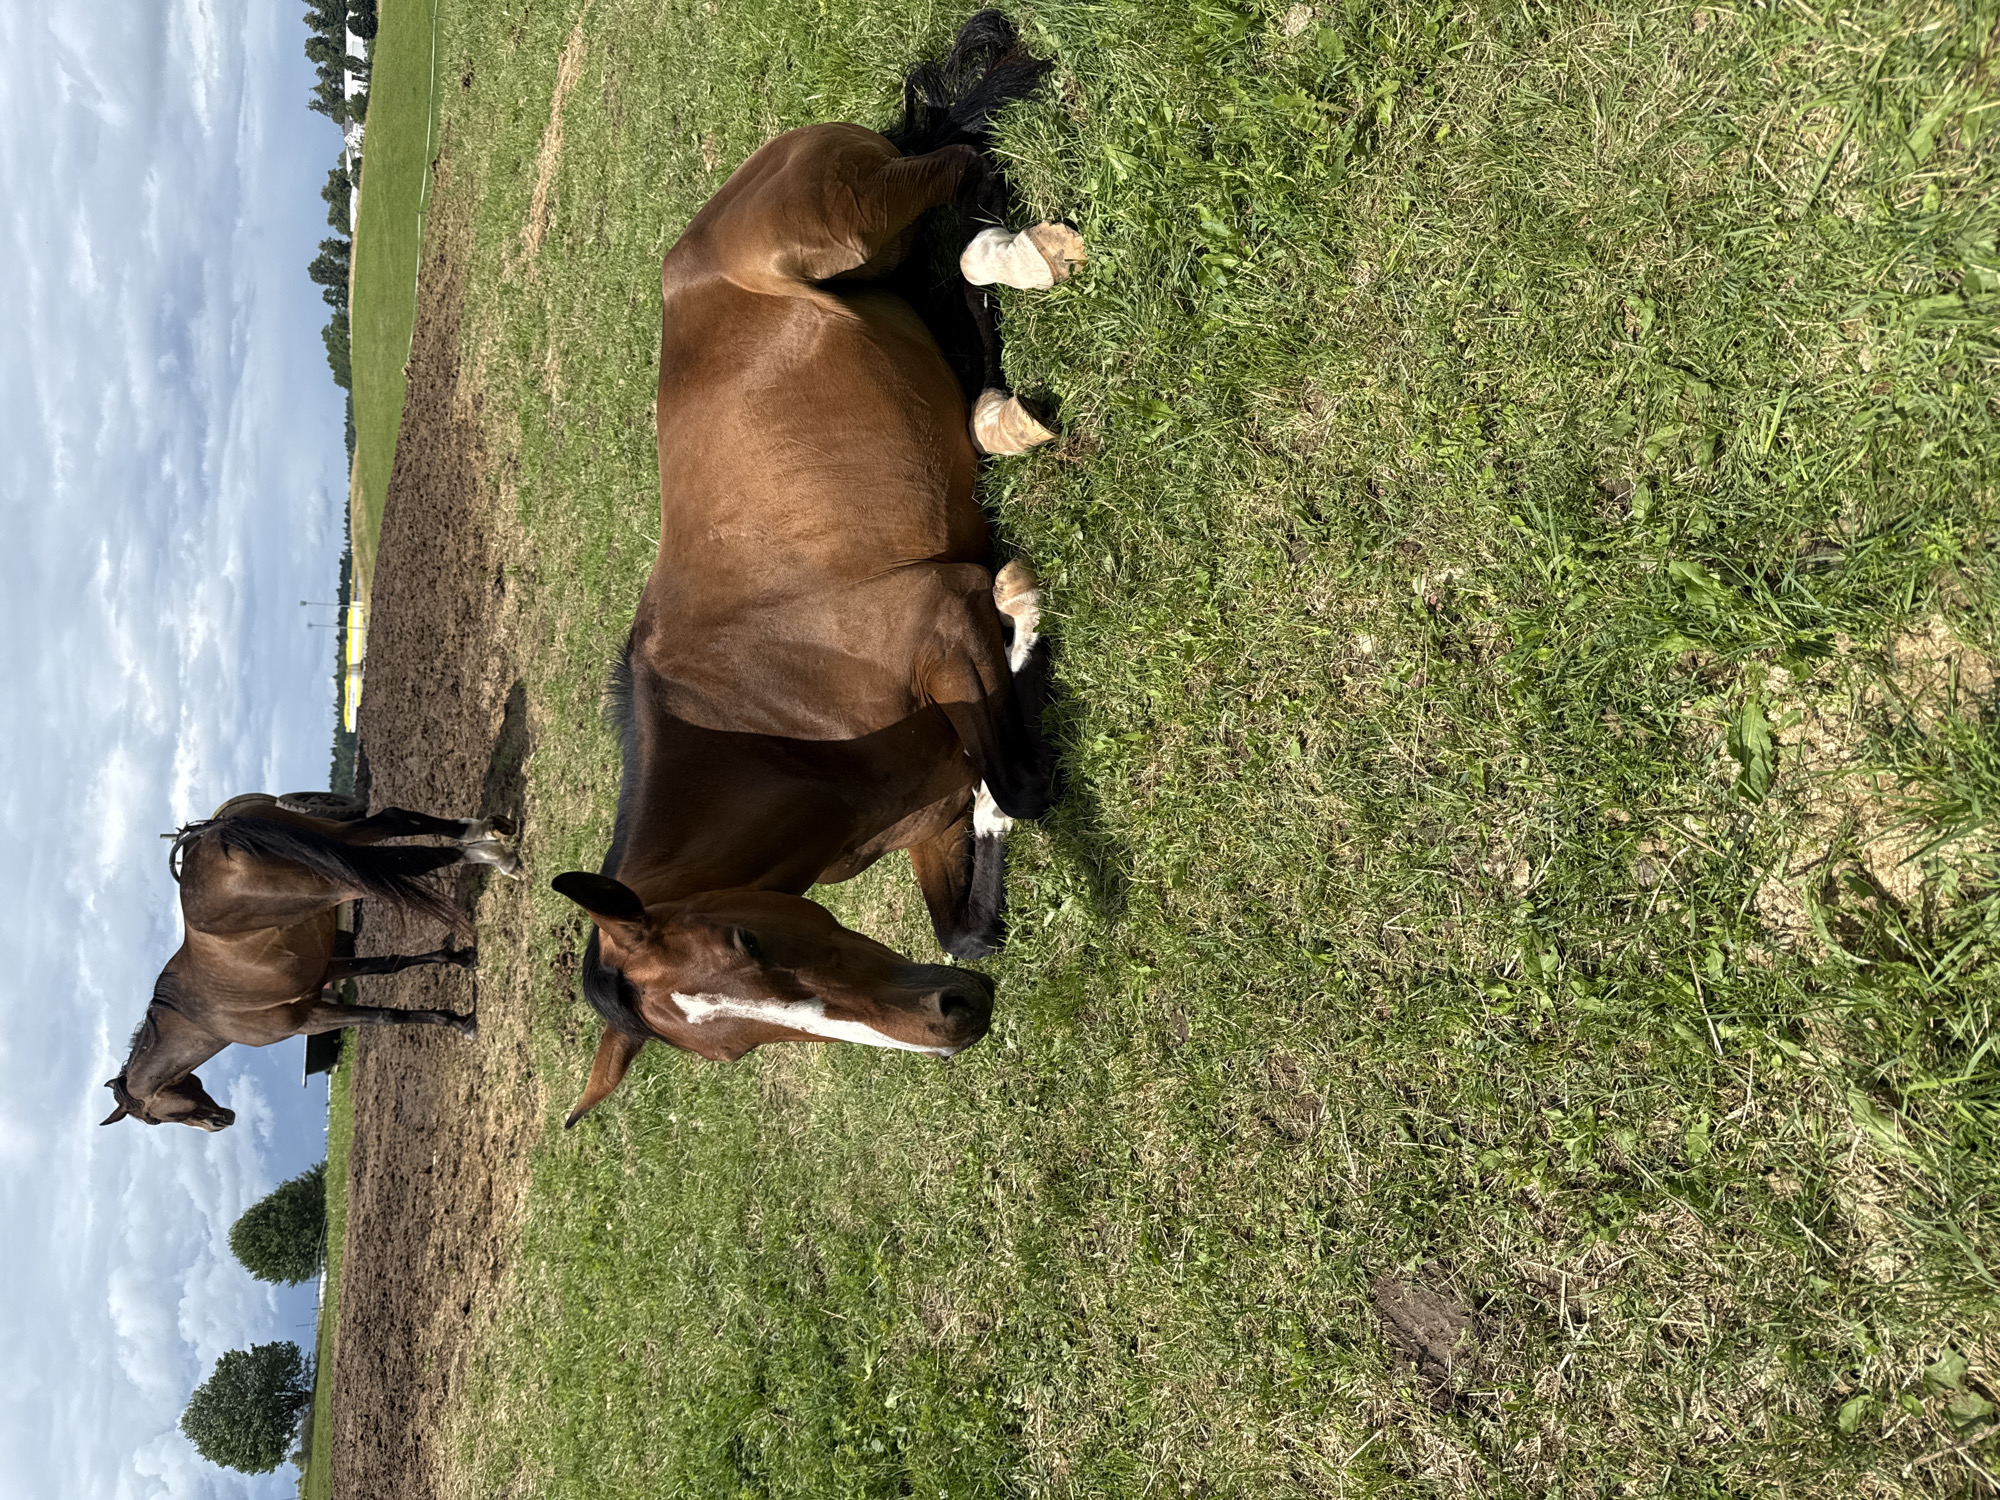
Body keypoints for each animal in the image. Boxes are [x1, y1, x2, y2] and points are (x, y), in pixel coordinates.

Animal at [100, 794, 520, 1131]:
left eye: (155, 1118)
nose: (220, 1121)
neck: (199, 1015)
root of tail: (220, 831)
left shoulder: (310, 1018)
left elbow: (385, 1016)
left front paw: (462, 1022)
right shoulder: (327, 971)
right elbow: (392, 965)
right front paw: (462, 963)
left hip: (342, 881)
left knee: (412, 858)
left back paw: (498, 856)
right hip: (340, 839)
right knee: (394, 820)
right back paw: (487, 829)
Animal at [550, 11, 1085, 1126]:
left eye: (746, 937)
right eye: (730, 1049)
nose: (950, 1020)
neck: (777, 733)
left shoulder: (939, 621)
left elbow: (1019, 781)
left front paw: (1019, 605)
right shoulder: (929, 814)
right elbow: (974, 907)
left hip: (844, 223)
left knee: (956, 165)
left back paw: (1012, 265)